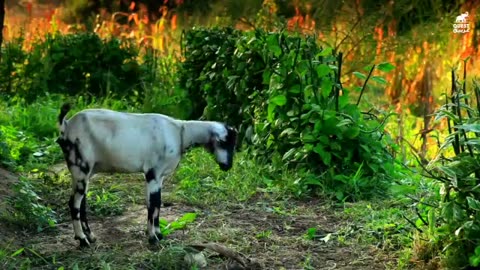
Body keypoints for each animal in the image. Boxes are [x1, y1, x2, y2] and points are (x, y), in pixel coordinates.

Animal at [55, 103, 238, 247]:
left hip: (85, 173)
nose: (227, 166)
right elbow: (153, 205)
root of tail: (66, 126)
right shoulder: (153, 174)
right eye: (224, 143)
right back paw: (82, 240)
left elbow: (156, 204)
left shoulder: (159, 177)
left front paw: (158, 234)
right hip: (80, 168)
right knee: (74, 203)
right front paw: (153, 237)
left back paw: (91, 237)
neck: (181, 132)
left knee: (82, 203)